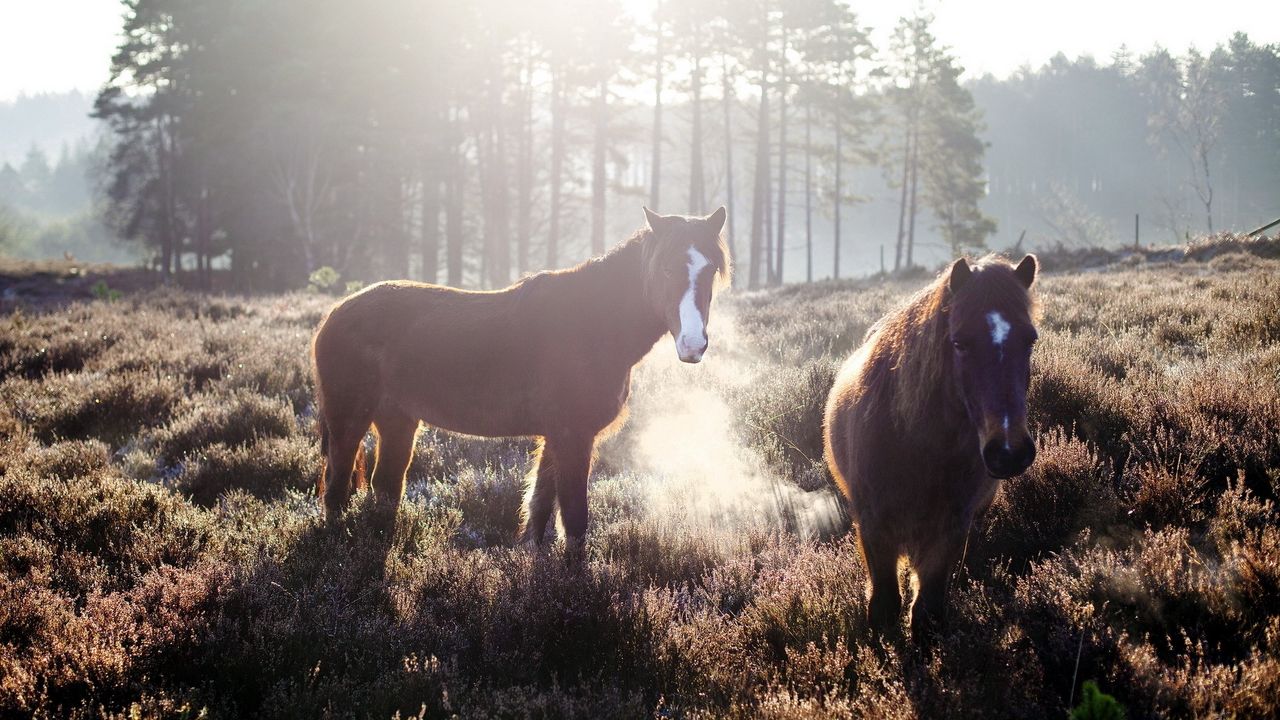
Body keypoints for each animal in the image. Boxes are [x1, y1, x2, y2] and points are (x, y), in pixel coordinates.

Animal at [311, 207, 732, 543]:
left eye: (710, 269)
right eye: (666, 268)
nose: (693, 345)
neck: (591, 323)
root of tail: (334, 315)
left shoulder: (557, 437)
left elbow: (541, 508)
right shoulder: (573, 436)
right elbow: (574, 519)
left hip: (398, 422)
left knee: (385, 489)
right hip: (349, 421)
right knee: (335, 491)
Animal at [819, 252, 1039, 632]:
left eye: (1030, 340)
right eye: (959, 342)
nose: (1009, 451)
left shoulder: (950, 528)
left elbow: (927, 612)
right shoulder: (875, 527)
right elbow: (884, 607)